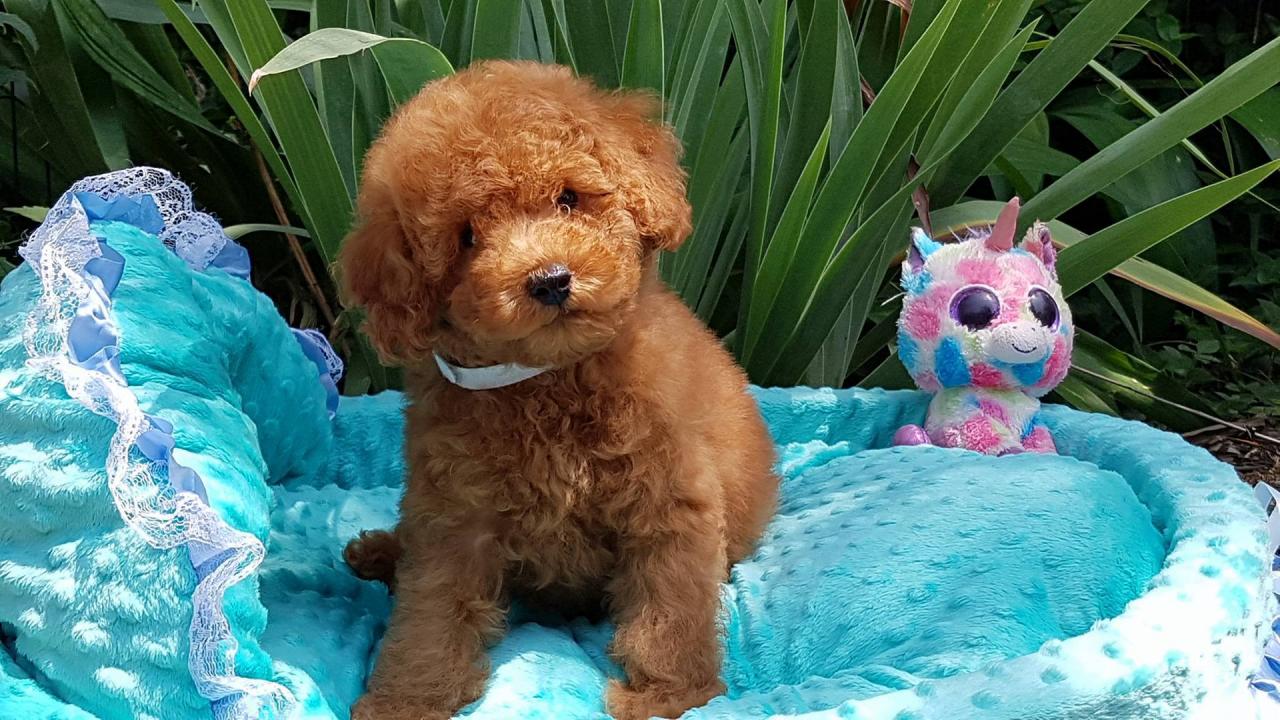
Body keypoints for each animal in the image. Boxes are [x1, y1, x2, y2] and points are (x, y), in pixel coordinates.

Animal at [343, 61, 778, 717]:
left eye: (568, 198)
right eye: (467, 237)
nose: (550, 280)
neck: (549, 381)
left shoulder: (667, 501)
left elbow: (670, 607)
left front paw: (667, 695)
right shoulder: (455, 518)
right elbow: (432, 612)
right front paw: (408, 700)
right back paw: (378, 552)